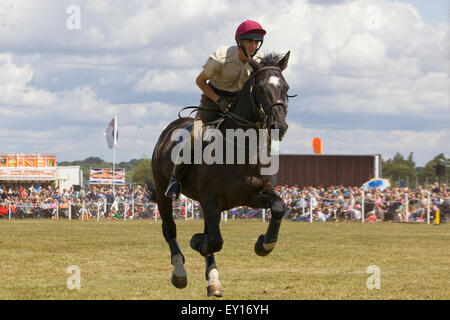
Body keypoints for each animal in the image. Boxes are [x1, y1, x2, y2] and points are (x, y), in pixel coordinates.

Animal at [149, 50, 292, 298]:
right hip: (162, 192)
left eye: (285, 87)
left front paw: (264, 244)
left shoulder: (253, 196)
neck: (242, 148)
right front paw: (197, 242)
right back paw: (180, 272)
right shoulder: (211, 200)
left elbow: (278, 207)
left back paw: (213, 282)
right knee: (170, 230)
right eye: (261, 88)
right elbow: (214, 241)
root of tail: (171, 127)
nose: (279, 126)